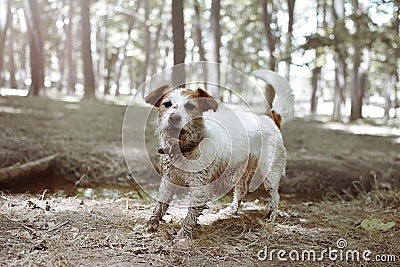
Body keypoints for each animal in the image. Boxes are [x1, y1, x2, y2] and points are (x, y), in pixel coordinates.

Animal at [144, 70, 294, 242]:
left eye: (190, 106)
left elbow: (190, 214)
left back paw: (271, 218)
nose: (174, 118)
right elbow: (160, 205)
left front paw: (183, 235)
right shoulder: (168, 181)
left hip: (270, 173)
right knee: (241, 191)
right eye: (167, 104)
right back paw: (230, 211)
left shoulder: (200, 188)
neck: (186, 148)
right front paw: (151, 224)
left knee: (275, 197)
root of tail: (270, 118)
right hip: (242, 172)